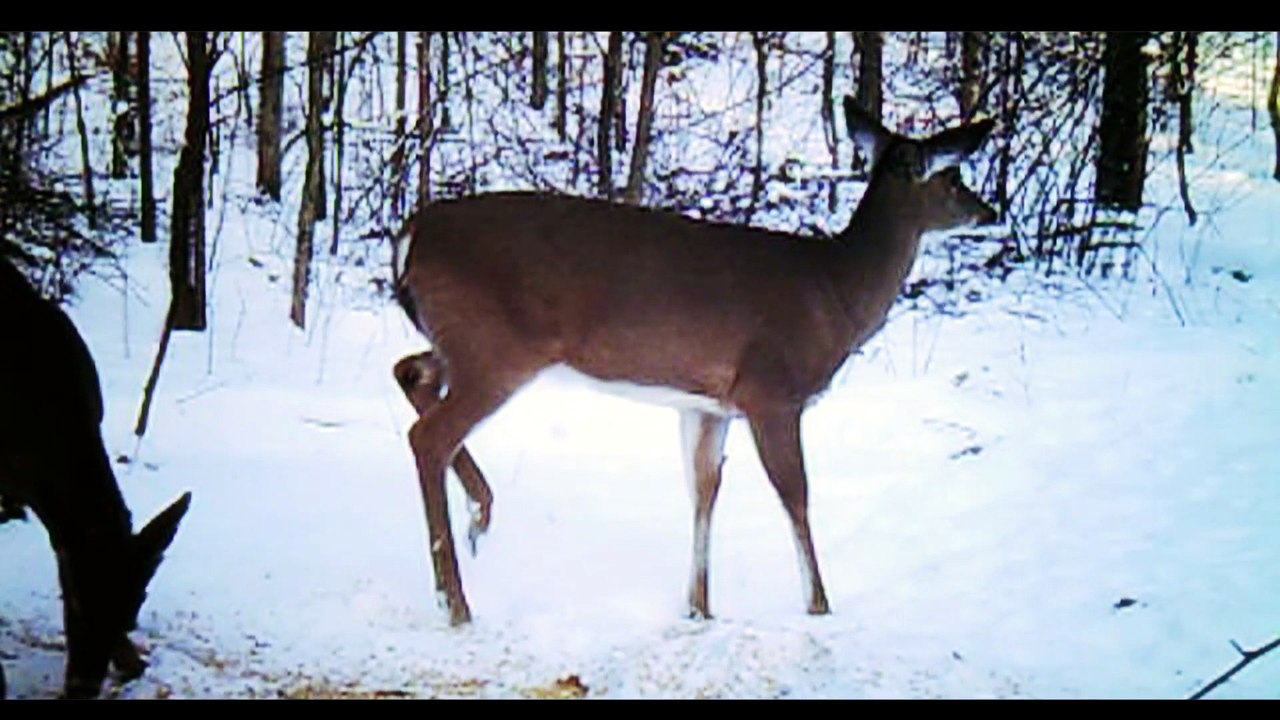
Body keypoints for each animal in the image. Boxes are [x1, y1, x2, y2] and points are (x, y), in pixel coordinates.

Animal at [388, 96, 997, 626]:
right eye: (952, 177)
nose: (989, 210)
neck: (835, 292)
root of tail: (412, 233)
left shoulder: (709, 405)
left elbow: (704, 490)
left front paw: (699, 607)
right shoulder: (772, 390)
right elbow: (795, 494)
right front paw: (819, 605)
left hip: (464, 343)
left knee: (411, 372)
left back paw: (480, 515)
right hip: (497, 348)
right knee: (428, 436)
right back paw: (456, 600)